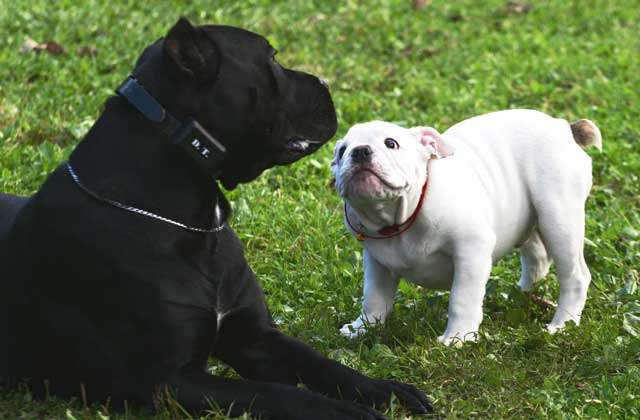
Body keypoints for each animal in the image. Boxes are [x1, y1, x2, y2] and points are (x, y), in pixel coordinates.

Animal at [1, 18, 430, 418]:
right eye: (272, 59)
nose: (325, 81)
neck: (194, 221)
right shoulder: (167, 381)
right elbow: (278, 393)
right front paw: (343, 411)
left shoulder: (255, 338)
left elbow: (323, 365)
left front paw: (387, 389)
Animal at [332, 108, 604, 344]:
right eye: (341, 151)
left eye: (391, 143)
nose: (359, 151)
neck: (396, 221)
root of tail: (563, 128)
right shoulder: (378, 264)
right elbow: (373, 297)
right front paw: (362, 327)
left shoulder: (471, 251)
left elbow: (462, 298)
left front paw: (457, 337)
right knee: (537, 258)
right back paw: (521, 294)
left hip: (558, 217)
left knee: (575, 276)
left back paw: (563, 324)